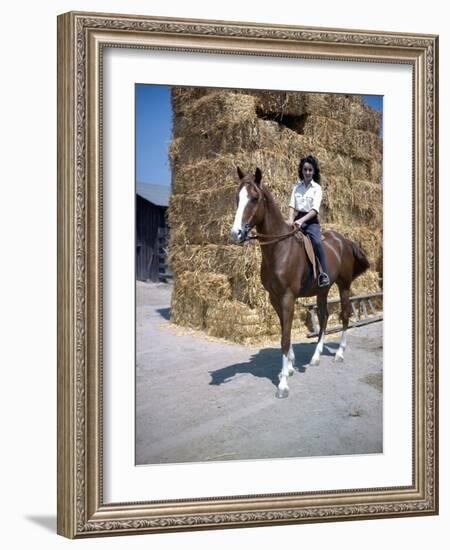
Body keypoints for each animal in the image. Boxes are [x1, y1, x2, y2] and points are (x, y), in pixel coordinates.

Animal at [229, 166, 370, 398]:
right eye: (237, 198)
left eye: (254, 198)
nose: (236, 233)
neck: (279, 249)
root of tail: (344, 240)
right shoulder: (275, 298)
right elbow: (283, 330)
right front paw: (289, 368)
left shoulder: (288, 297)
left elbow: (285, 338)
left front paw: (283, 384)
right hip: (323, 290)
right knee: (324, 317)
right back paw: (316, 357)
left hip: (344, 286)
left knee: (344, 315)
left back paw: (339, 354)